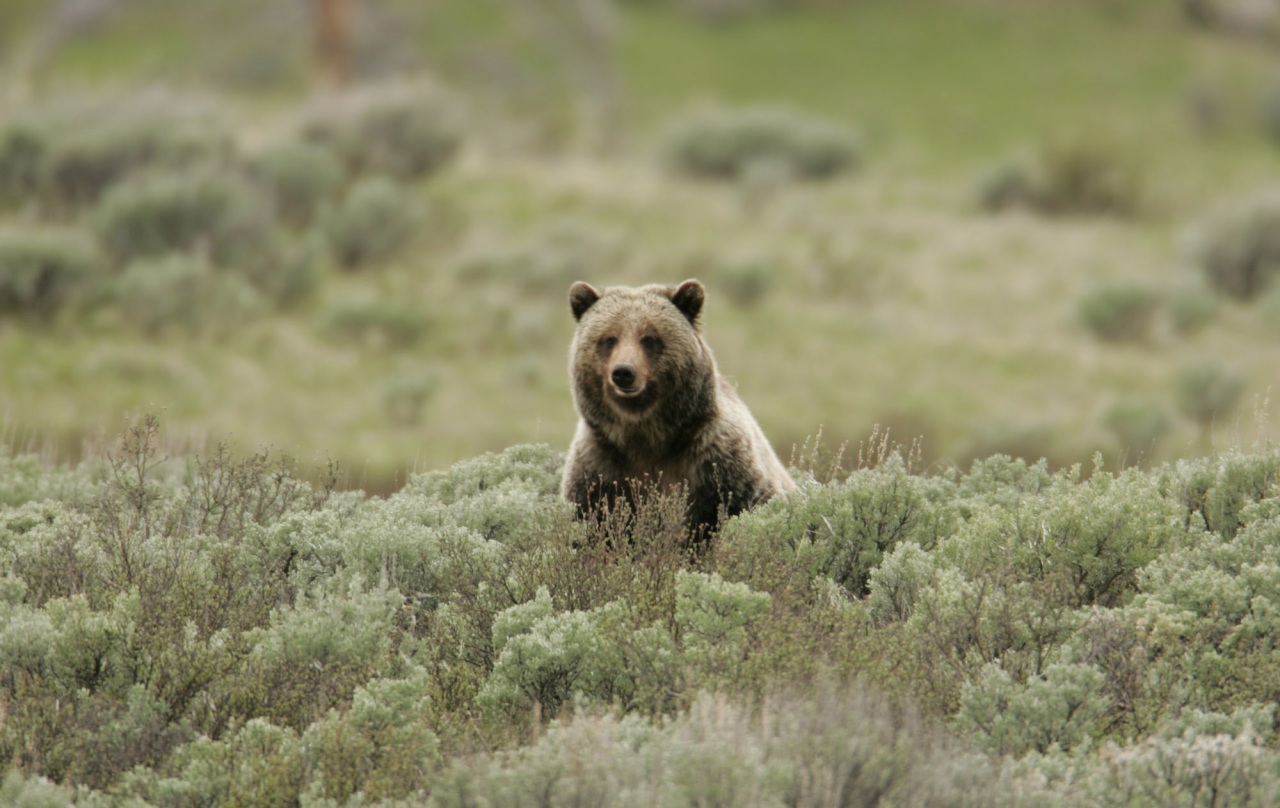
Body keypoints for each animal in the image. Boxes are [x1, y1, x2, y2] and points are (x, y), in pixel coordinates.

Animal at [558, 279, 788, 537]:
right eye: (609, 339)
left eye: (649, 338)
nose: (623, 372)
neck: (648, 436)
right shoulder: (599, 470)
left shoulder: (720, 465)